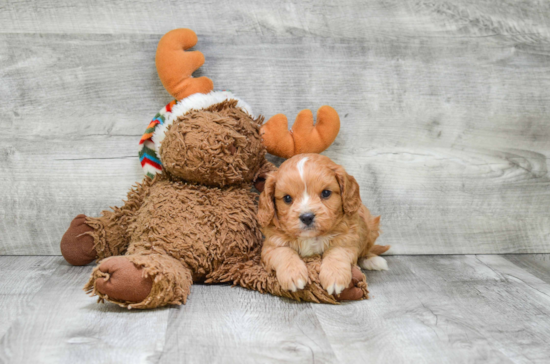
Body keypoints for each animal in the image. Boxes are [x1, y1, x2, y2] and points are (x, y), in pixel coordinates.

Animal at [258, 154, 388, 296]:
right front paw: (292, 274)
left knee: (365, 250)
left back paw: (372, 260)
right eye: (287, 198)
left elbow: (336, 253)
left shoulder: (347, 239)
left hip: (370, 227)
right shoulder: (271, 244)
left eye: (326, 193)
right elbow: (284, 252)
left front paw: (335, 276)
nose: (307, 217)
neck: (311, 237)